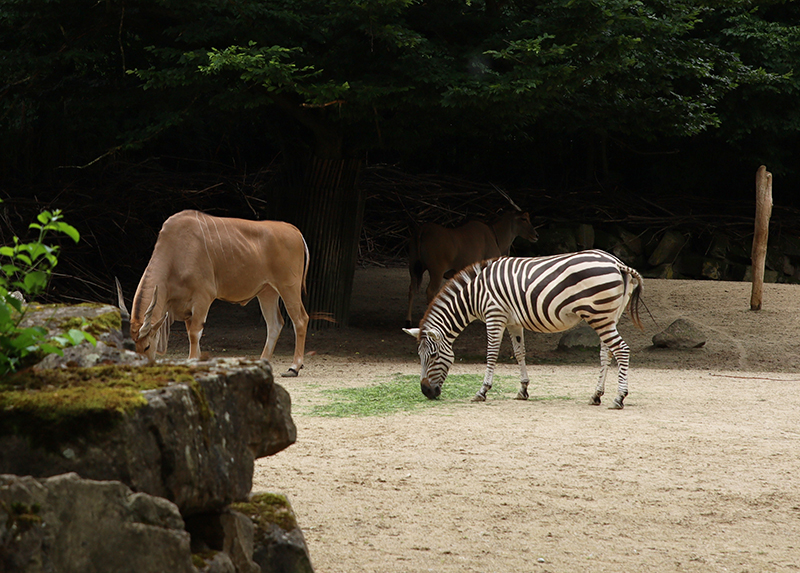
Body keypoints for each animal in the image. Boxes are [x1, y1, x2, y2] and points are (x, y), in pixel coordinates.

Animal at [117, 210, 310, 376]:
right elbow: (192, 333)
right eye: (131, 348)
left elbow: (195, 334)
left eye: (147, 347)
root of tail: (294, 231)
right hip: (267, 292)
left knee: (300, 320)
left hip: (288, 287)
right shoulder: (187, 308)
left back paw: (294, 367)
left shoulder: (203, 298)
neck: (175, 252)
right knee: (274, 324)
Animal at [400, 249, 644, 406]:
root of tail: (616, 263)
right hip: (608, 316)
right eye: (419, 357)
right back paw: (596, 395)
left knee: (622, 350)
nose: (426, 392)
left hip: (599, 315)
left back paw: (619, 397)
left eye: (433, 356)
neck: (474, 293)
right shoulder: (513, 322)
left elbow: (491, 354)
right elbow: (519, 353)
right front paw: (523, 389)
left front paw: (482, 391)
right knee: (607, 353)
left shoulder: (495, 315)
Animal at [406, 209, 536, 326]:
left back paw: (408, 321)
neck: (494, 234)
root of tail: (423, 230)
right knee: (430, 291)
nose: (536, 235)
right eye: (524, 219)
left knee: (412, 288)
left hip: (413, 267)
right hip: (436, 272)